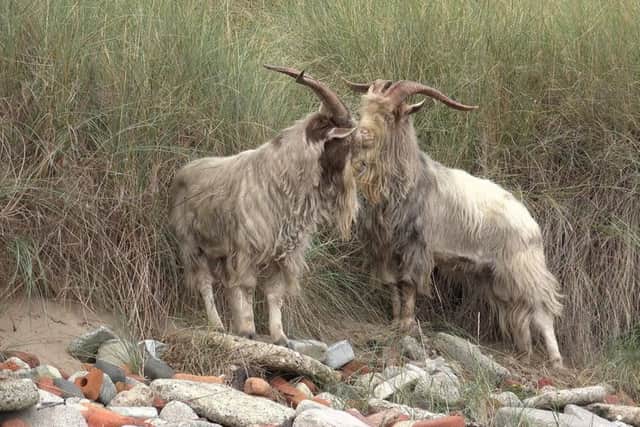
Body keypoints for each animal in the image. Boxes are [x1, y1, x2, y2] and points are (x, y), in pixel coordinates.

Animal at [169, 66, 360, 345]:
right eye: (347, 141)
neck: (280, 176)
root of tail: (182, 173)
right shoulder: (248, 247)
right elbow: (248, 287)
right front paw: (250, 329)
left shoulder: (283, 254)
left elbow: (274, 293)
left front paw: (279, 336)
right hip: (192, 246)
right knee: (205, 283)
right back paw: (218, 325)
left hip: (221, 251)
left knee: (228, 285)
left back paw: (234, 325)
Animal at [347, 78, 564, 367]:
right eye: (364, 108)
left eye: (389, 114)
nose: (361, 135)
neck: (410, 180)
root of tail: (532, 224)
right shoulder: (386, 248)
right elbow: (393, 285)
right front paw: (394, 321)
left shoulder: (417, 247)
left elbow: (409, 285)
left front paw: (406, 324)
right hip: (498, 277)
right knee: (519, 313)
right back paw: (524, 353)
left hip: (524, 269)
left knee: (542, 311)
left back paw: (555, 360)